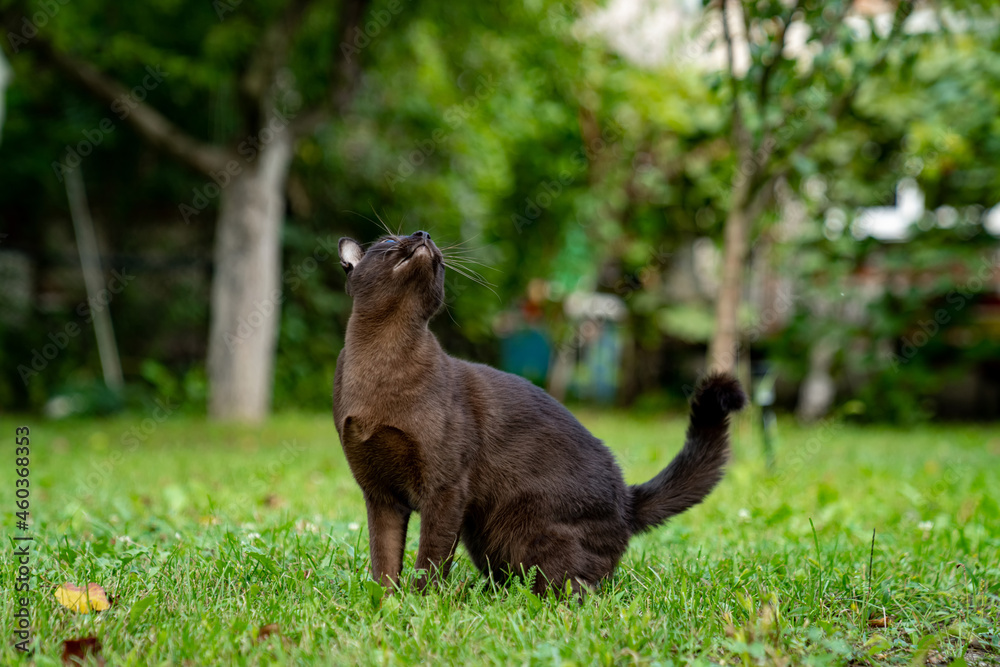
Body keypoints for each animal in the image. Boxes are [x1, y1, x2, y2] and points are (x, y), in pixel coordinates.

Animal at [332, 230, 748, 596]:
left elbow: (429, 561)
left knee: (575, 588)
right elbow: (384, 562)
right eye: (389, 239)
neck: (386, 356)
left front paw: (420, 605)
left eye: (433, 250)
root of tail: (627, 502)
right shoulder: (380, 496)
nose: (423, 234)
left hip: (531, 531)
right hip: (482, 534)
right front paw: (385, 606)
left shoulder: (444, 489)